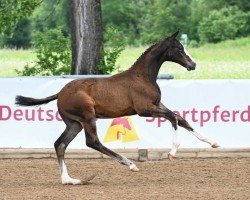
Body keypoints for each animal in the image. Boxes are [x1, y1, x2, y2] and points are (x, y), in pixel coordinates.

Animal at [15, 30, 219, 185]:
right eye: (179, 48)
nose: (193, 64)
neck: (143, 76)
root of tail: (60, 93)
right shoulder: (144, 110)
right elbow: (173, 118)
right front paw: (172, 152)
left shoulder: (156, 104)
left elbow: (181, 119)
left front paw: (213, 142)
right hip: (88, 117)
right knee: (92, 142)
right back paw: (130, 164)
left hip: (74, 123)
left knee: (60, 144)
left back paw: (69, 180)